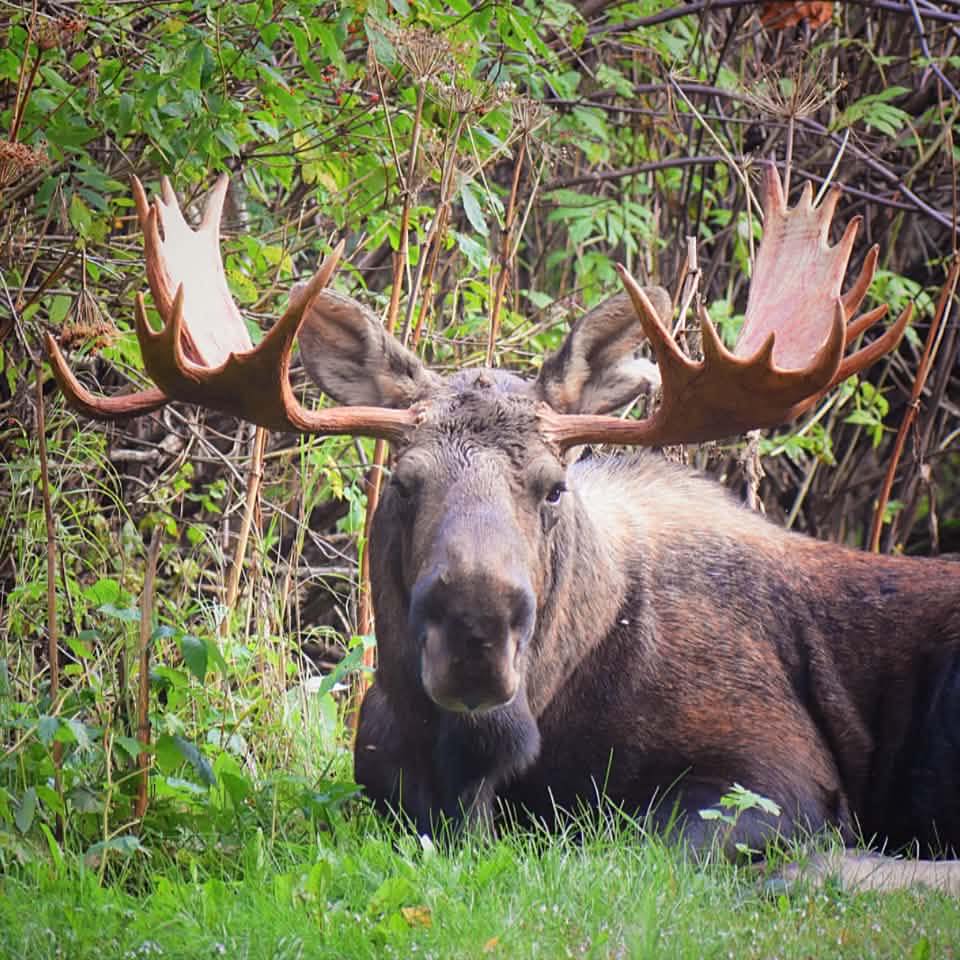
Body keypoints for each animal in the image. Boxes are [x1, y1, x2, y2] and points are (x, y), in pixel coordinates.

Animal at [46, 168, 960, 894]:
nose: (476, 625)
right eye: (404, 482)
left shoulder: (774, 768)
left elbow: (655, 848)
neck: (482, 762)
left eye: (554, 487)